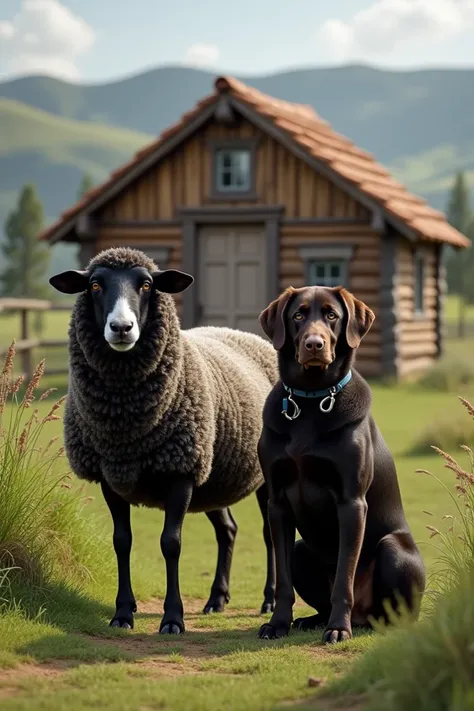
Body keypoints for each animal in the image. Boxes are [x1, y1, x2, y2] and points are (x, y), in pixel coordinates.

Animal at [48, 249, 278, 636]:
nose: (121, 328)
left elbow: (171, 544)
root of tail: (247, 335)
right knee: (228, 530)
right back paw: (217, 599)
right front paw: (123, 613)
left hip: (262, 474)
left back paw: (269, 600)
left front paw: (172, 619)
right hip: (212, 476)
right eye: (94, 284)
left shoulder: (179, 473)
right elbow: (121, 541)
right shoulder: (111, 476)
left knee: (270, 531)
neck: (125, 427)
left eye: (146, 284)